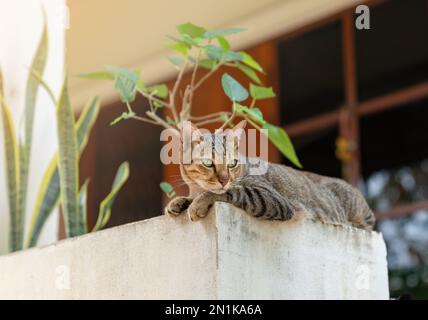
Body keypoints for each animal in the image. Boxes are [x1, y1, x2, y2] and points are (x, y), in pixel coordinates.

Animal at [164, 120, 374, 230]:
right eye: (208, 163)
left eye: (232, 164)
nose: (224, 180)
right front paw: (179, 201)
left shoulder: (271, 198)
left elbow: (230, 191)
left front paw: (199, 202)